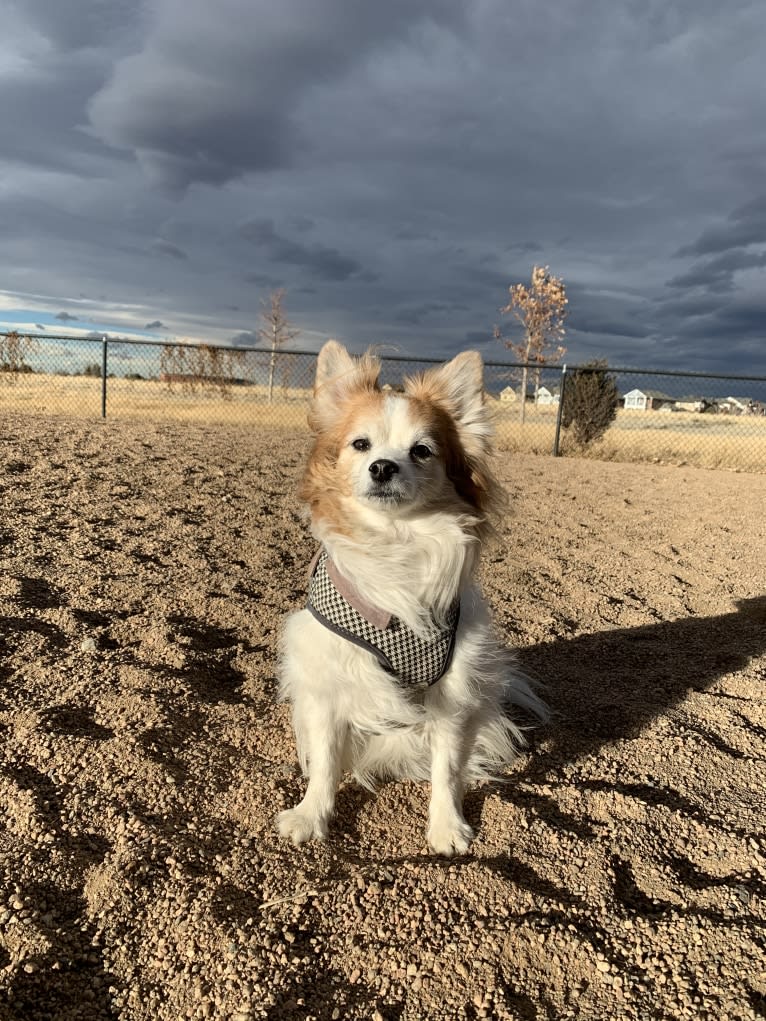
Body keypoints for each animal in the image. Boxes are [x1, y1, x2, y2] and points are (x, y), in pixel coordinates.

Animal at [275, 341, 547, 853]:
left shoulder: (454, 688)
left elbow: (447, 766)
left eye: (421, 451)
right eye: (360, 445)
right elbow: (325, 759)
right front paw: (310, 816)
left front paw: (447, 826)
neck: (394, 542)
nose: (383, 466)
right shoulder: (328, 680)